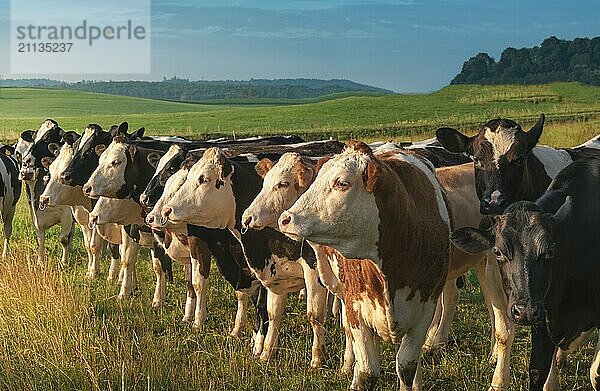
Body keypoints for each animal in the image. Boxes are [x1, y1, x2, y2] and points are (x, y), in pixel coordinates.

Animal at [278, 142, 452, 391]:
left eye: (342, 183)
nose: (285, 219)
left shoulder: (425, 309)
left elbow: (407, 366)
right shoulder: (356, 309)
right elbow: (366, 372)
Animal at [452, 158, 600, 390]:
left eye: (550, 250)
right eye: (497, 252)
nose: (525, 311)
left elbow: (595, 373)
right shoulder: (544, 322)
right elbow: (538, 371)